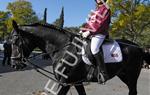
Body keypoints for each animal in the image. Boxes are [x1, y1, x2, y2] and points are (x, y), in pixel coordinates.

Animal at [10, 20, 150, 95]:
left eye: (15, 41)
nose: (14, 65)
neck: (63, 49)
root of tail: (139, 47)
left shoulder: (66, 82)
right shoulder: (76, 82)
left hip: (132, 76)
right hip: (123, 75)